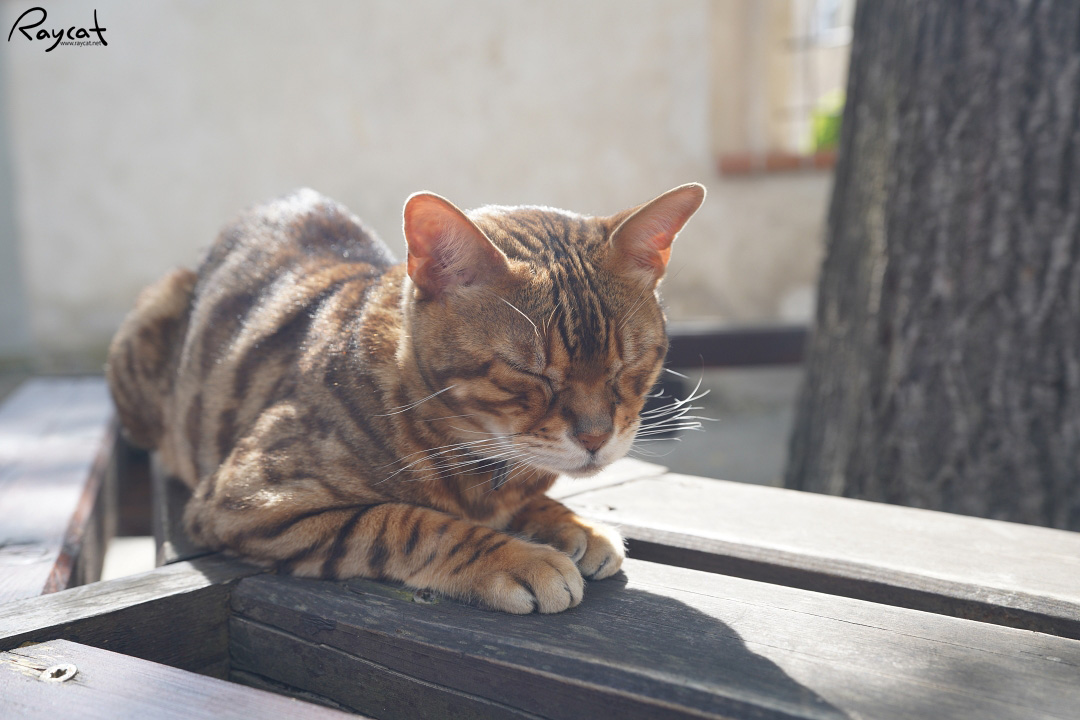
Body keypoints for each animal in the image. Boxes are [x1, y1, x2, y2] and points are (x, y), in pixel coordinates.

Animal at [106, 183, 705, 613]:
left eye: (629, 363)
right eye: (528, 370)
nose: (596, 437)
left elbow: (530, 499)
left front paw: (574, 523)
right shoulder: (247, 500)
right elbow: (408, 522)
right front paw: (517, 557)